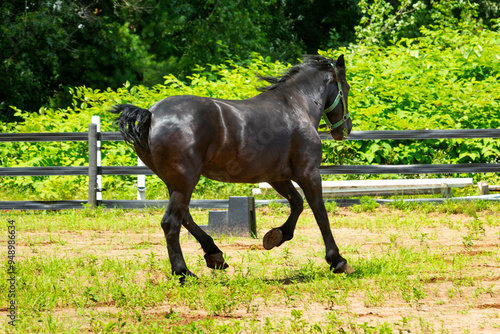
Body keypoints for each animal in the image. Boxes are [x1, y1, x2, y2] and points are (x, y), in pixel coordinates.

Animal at [110, 54, 352, 280]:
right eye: (346, 88)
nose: (345, 129)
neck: (296, 106)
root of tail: (150, 114)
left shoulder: (276, 177)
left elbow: (298, 204)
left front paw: (275, 236)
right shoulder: (308, 173)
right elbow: (320, 213)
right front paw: (338, 261)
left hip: (176, 183)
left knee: (184, 217)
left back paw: (214, 255)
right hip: (184, 181)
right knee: (171, 223)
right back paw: (183, 272)